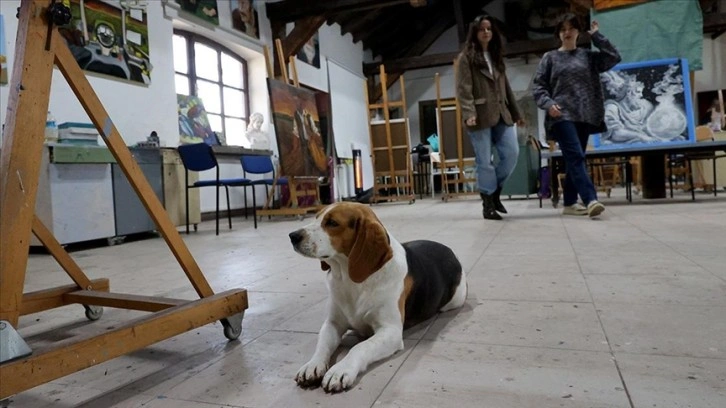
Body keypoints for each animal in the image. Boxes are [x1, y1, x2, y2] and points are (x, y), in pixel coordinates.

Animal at [288, 202, 466, 394]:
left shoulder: (390, 331)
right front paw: (312, 365)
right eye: (316, 217)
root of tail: (449, 250)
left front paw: (341, 370)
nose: (292, 236)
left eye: (332, 223)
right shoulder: (332, 323)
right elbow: (322, 345)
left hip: (456, 300)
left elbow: (360, 347)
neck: (349, 279)